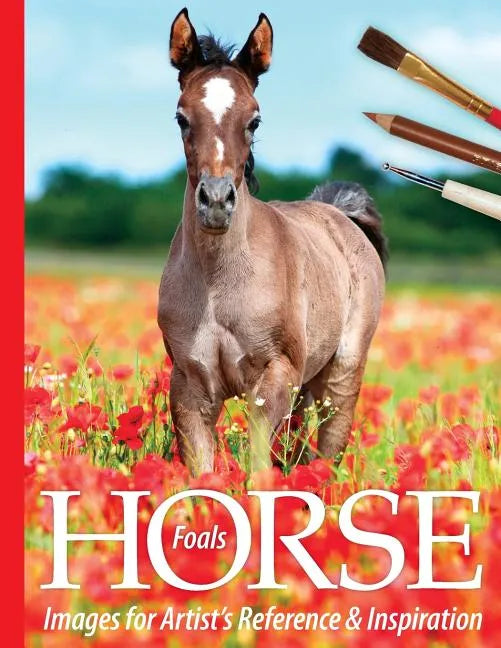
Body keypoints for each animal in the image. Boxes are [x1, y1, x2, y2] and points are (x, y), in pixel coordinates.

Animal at [158, 9, 387, 476]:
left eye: (254, 120)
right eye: (181, 117)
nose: (216, 202)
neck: (218, 286)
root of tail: (339, 213)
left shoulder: (274, 378)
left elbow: (259, 467)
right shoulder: (189, 386)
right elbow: (203, 475)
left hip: (342, 372)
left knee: (329, 446)